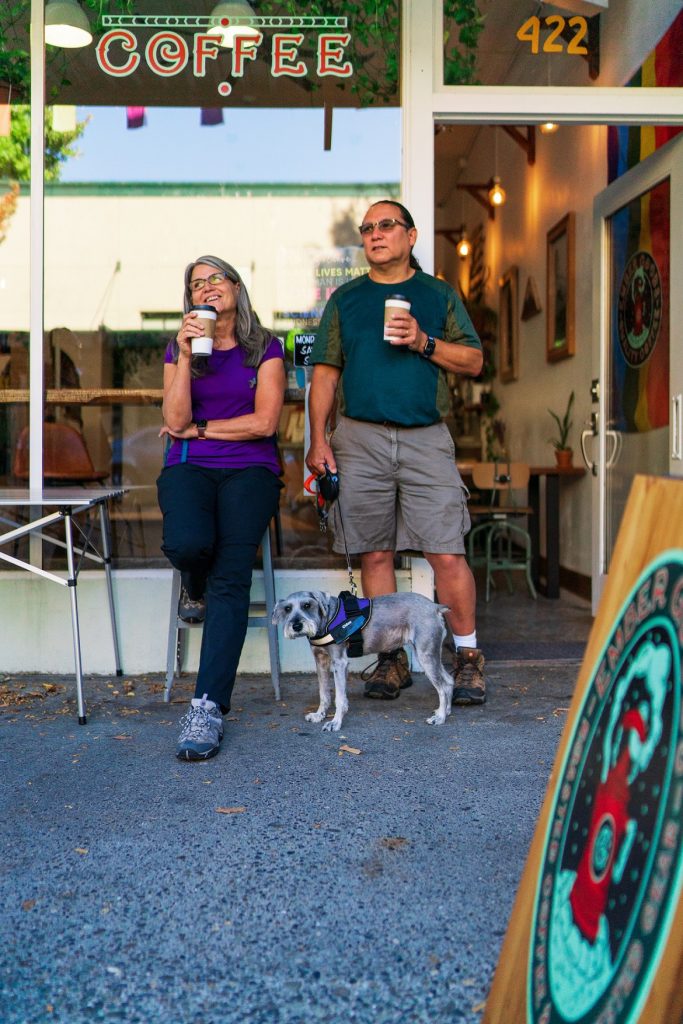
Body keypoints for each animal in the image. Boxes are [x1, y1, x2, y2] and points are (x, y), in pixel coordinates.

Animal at [270, 589, 454, 733]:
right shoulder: (321, 661)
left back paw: (440, 718)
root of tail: (435, 607)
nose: (296, 626)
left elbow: (339, 698)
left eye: (307, 605)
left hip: (425, 655)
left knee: (442, 687)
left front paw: (334, 723)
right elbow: (324, 693)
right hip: (430, 655)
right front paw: (319, 715)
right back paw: (445, 711)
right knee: (449, 680)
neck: (327, 619)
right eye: (287, 608)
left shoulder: (339, 662)